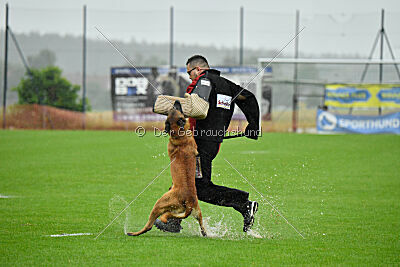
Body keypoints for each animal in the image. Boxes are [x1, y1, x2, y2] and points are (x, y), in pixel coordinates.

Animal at [127, 101, 206, 238]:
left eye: (175, 108)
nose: (177, 101)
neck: (180, 134)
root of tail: (189, 201)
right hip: (197, 211)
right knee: (201, 222)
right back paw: (205, 232)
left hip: (159, 204)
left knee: (149, 225)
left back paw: (134, 232)